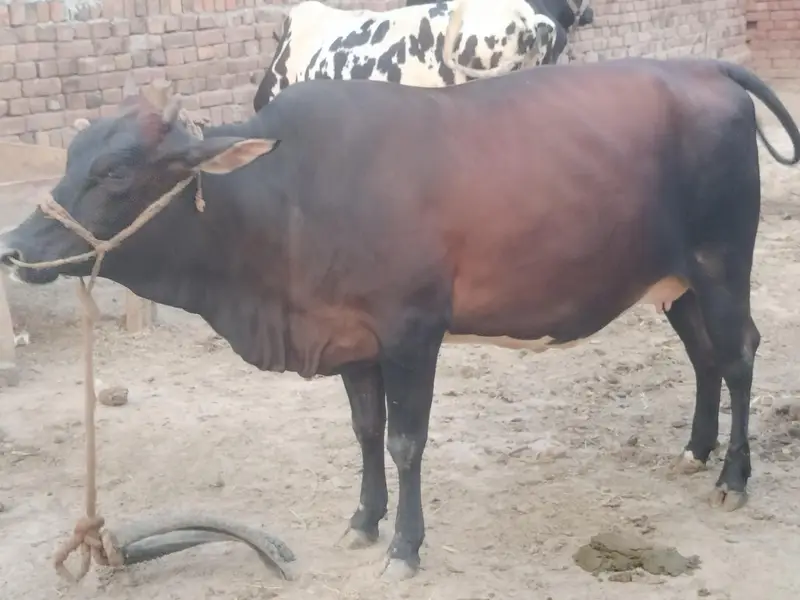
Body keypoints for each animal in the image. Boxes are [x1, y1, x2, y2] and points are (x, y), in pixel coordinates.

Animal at [2, 58, 799, 579]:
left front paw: (405, 547)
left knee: (739, 354)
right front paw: (363, 521)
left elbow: (406, 442)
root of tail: (704, 67)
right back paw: (695, 450)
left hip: (722, 261)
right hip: (675, 282)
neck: (288, 196)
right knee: (704, 355)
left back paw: (733, 475)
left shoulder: (413, 332)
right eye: (71, 159)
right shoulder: (353, 342)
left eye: (115, 172)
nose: (14, 248)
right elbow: (365, 431)